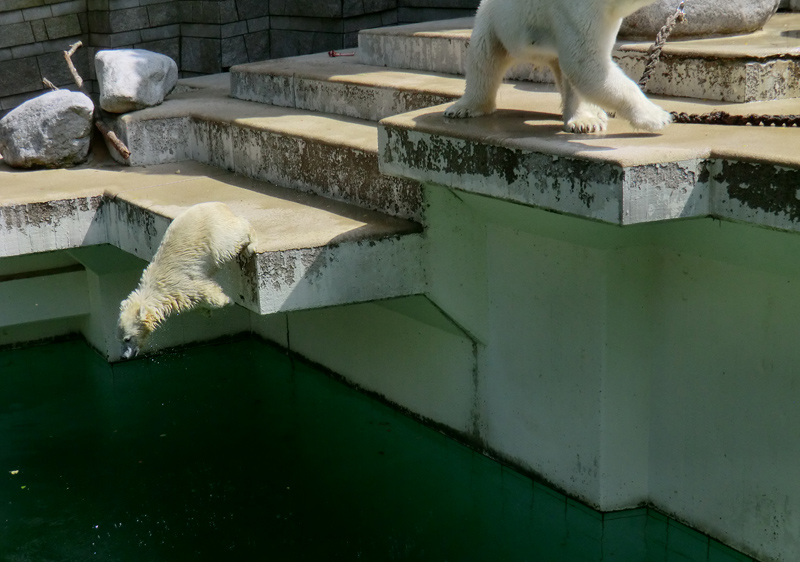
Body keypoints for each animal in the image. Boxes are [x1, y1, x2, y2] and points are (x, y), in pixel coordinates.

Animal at [116, 201, 256, 358]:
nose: (123, 356)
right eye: (119, 339)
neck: (154, 288)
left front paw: (227, 301)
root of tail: (219, 205)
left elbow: (204, 291)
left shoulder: (180, 285)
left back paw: (250, 243)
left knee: (230, 240)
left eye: (127, 338)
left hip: (215, 235)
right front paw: (207, 311)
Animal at [446, 0, 672, 133]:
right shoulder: (578, 10)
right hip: (496, 21)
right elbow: (586, 63)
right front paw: (659, 117)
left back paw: (592, 115)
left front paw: (584, 121)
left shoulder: (605, 18)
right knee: (484, 59)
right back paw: (462, 108)